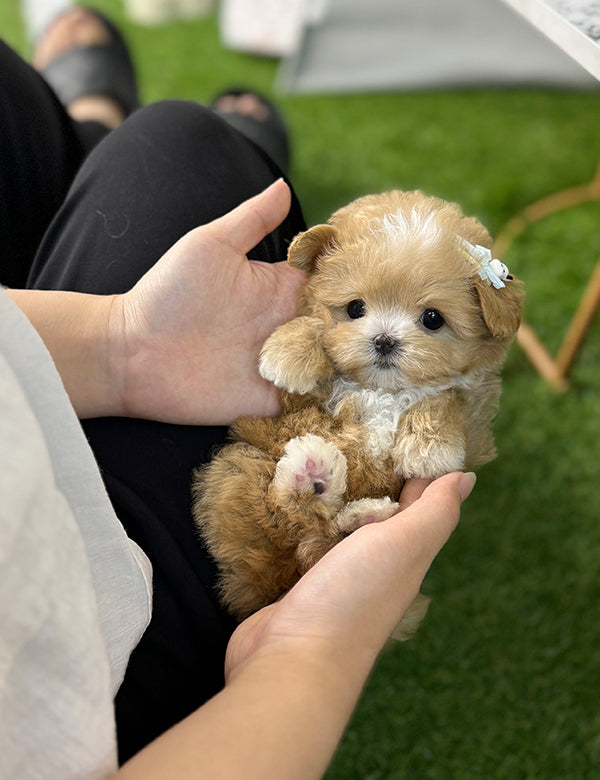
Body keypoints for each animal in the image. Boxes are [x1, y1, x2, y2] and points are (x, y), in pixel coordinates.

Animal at [195, 189, 524, 632]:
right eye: (355, 309)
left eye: (432, 318)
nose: (384, 340)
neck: (382, 390)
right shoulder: (306, 402)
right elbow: (315, 328)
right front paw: (288, 352)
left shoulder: (476, 418)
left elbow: (445, 397)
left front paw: (428, 447)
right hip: (239, 469)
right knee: (293, 521)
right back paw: (313, 476)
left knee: (322, 538)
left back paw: (358, 511)